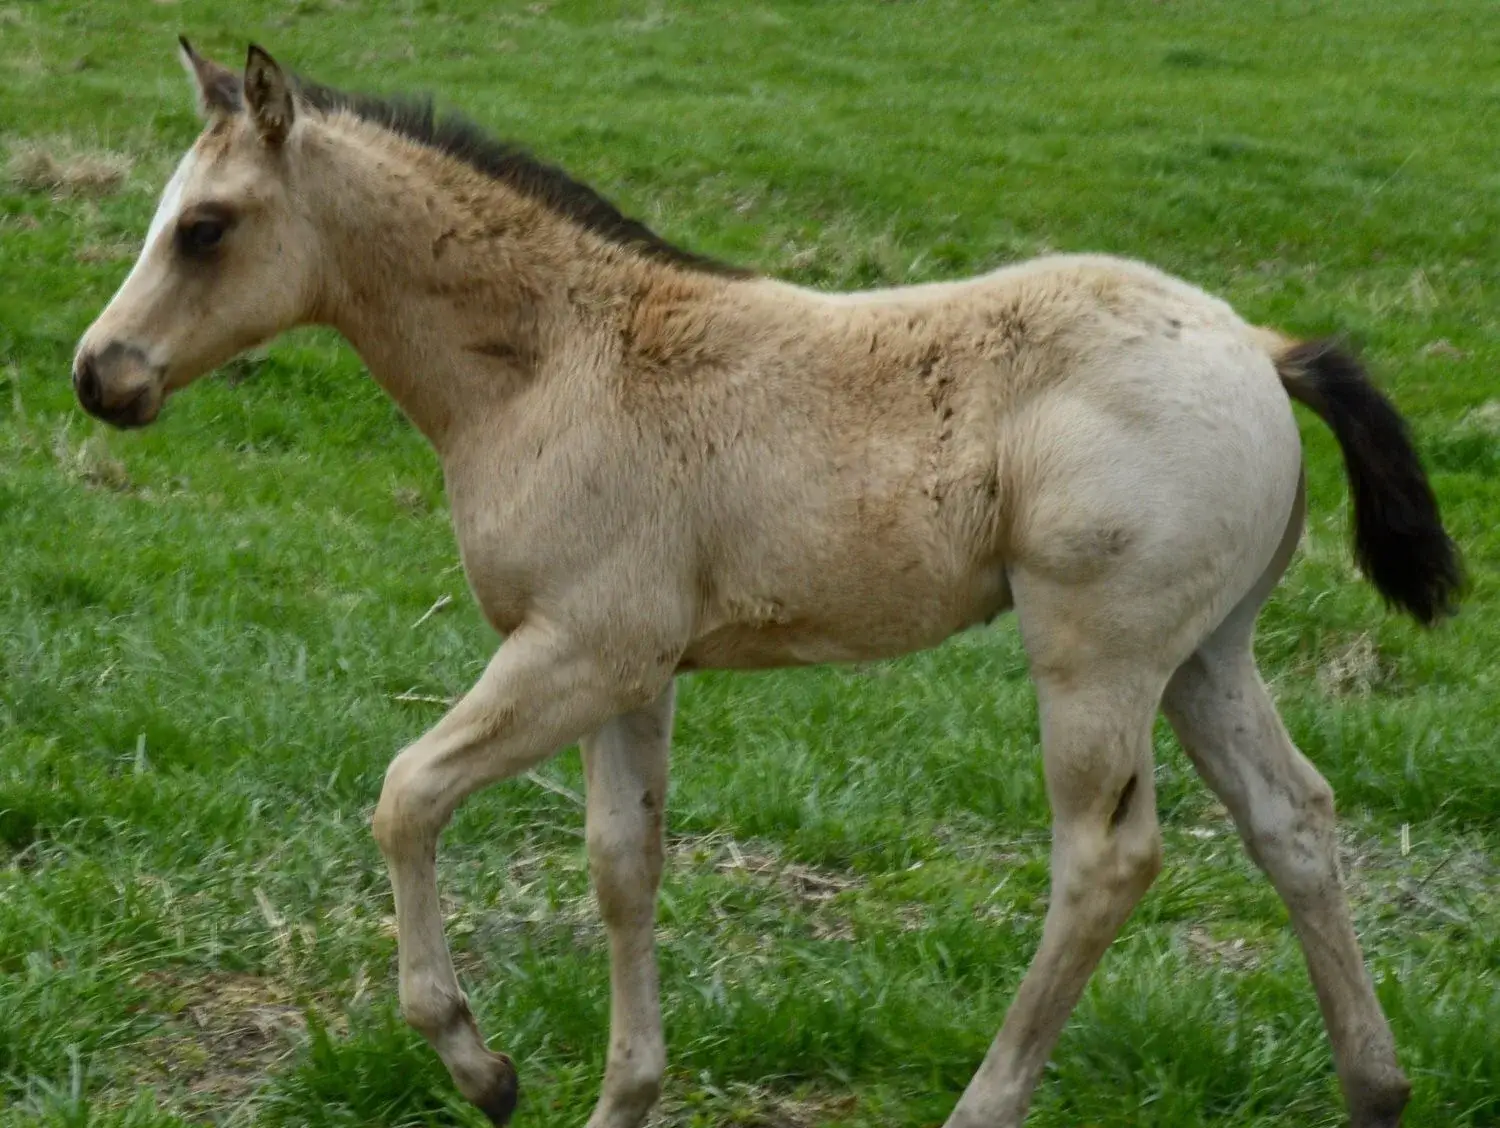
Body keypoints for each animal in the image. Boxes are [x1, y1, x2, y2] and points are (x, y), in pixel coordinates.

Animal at [72, 40, 1461, 1128]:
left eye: (205, 227)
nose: (101, 374)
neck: (556, 361)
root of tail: (1261, 347)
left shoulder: (581, 648)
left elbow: (407, 794)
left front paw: (483, 1068)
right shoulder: (632, 671)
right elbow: (622, 863)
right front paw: (621, 1099)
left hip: (1098, 654)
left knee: (1106, 860)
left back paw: (985, 1102)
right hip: (1206, 652)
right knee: (1293, 818)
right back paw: (1376, 1087)